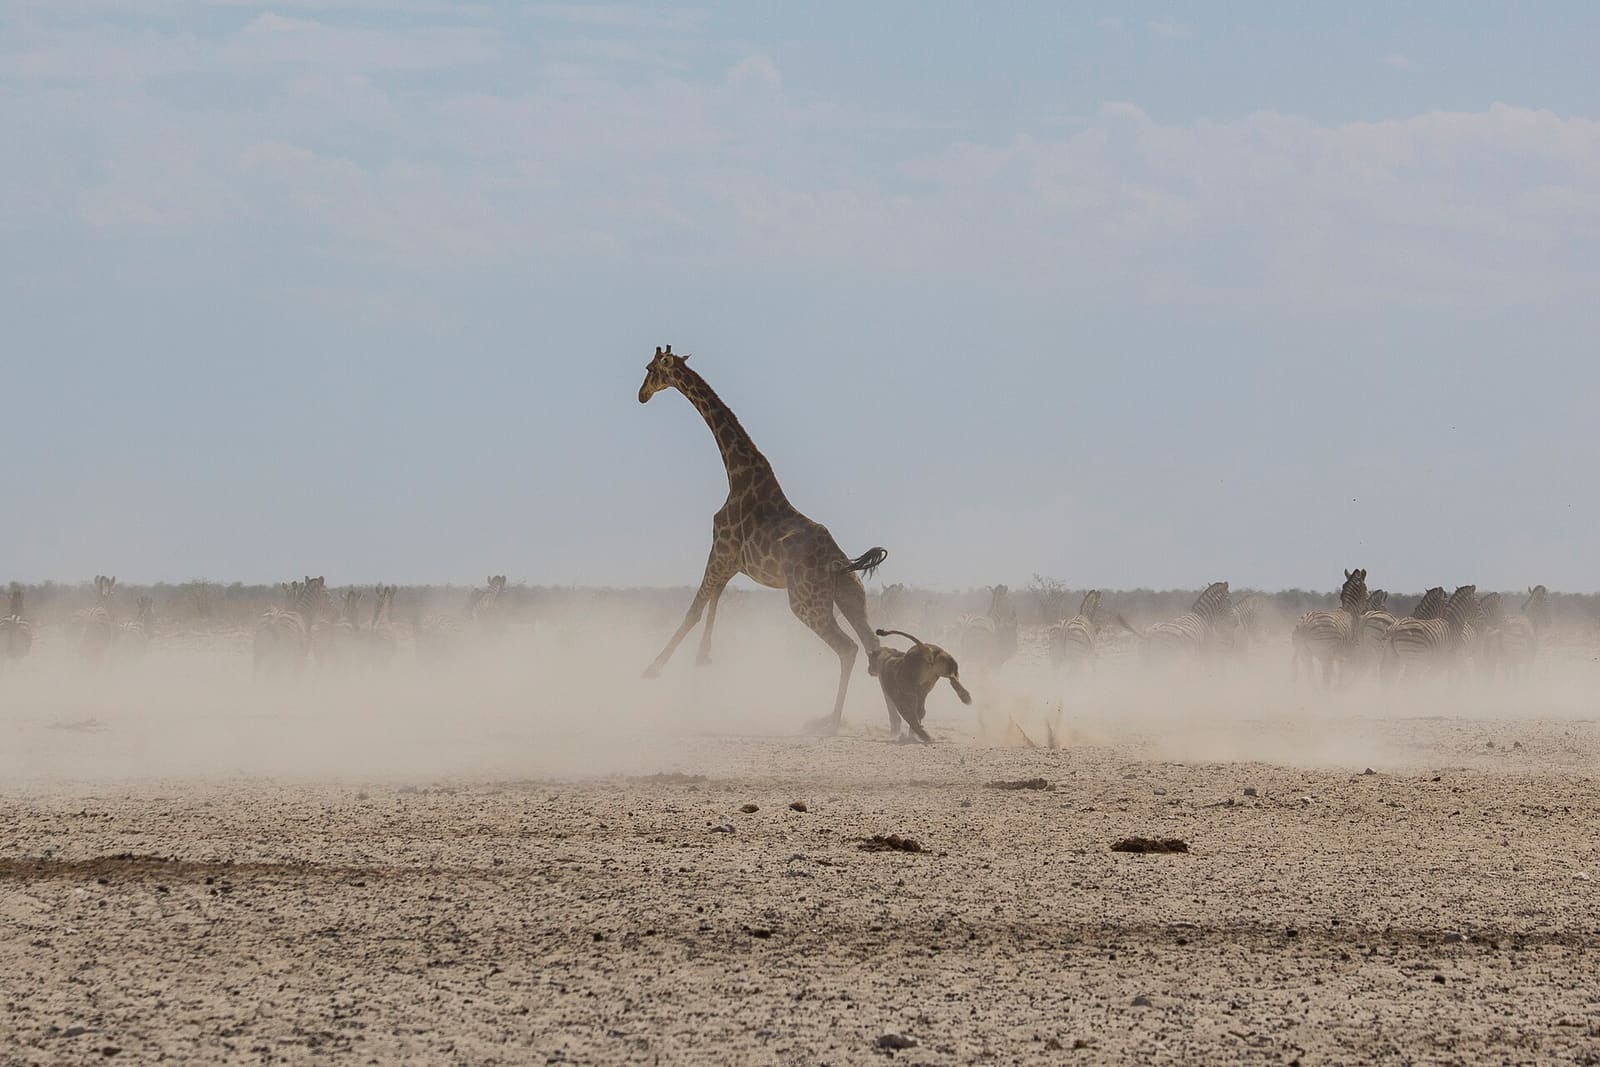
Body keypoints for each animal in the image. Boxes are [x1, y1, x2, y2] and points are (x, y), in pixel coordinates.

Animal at [637, 344, 888, 734]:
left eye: (652, 369)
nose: (642, 395)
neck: (736, 474)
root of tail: (841, 563)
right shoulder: (731, 563)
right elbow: (713, 604)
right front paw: (702, 659)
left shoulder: (720, 551)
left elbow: (694, 610)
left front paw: (652, 670)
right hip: (851, 596)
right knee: (875, 649)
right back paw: (897, 725)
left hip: (806, 603)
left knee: (849, 649)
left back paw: (831, 722)